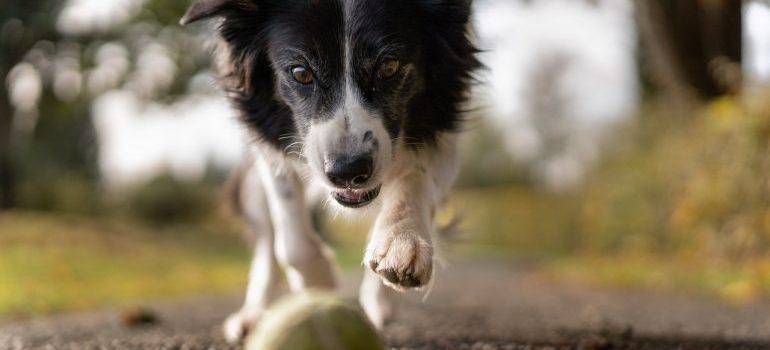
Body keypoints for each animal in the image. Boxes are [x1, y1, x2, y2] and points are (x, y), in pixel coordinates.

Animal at [182, 0, 476, 342]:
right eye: (300, 72)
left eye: (388, 66)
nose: (348, 171)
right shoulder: (269, 141)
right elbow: (290, 236)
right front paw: (319, 284)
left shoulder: (444, 122)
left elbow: (415, 177)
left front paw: (402, 241)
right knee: (266, 242)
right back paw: (253, 316)